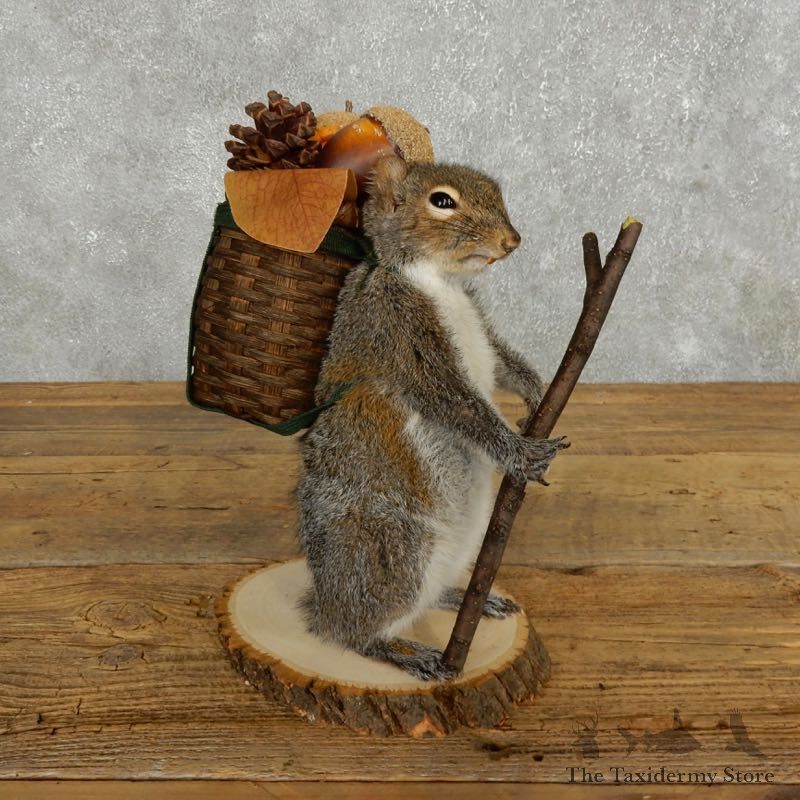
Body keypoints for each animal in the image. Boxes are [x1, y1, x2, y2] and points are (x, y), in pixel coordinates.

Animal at [295, 155, 568, 681]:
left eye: (495, 190)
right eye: (441, 201)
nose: (511, 242)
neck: (438, 280)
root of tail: (324, 600)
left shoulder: (481, 328)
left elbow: (504, 365)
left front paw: (536, 394)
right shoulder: (399, 333)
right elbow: (458, 404)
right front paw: (520, 453)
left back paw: (467, 598)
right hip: (394, 553)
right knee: (350, 633)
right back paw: (406, 653)